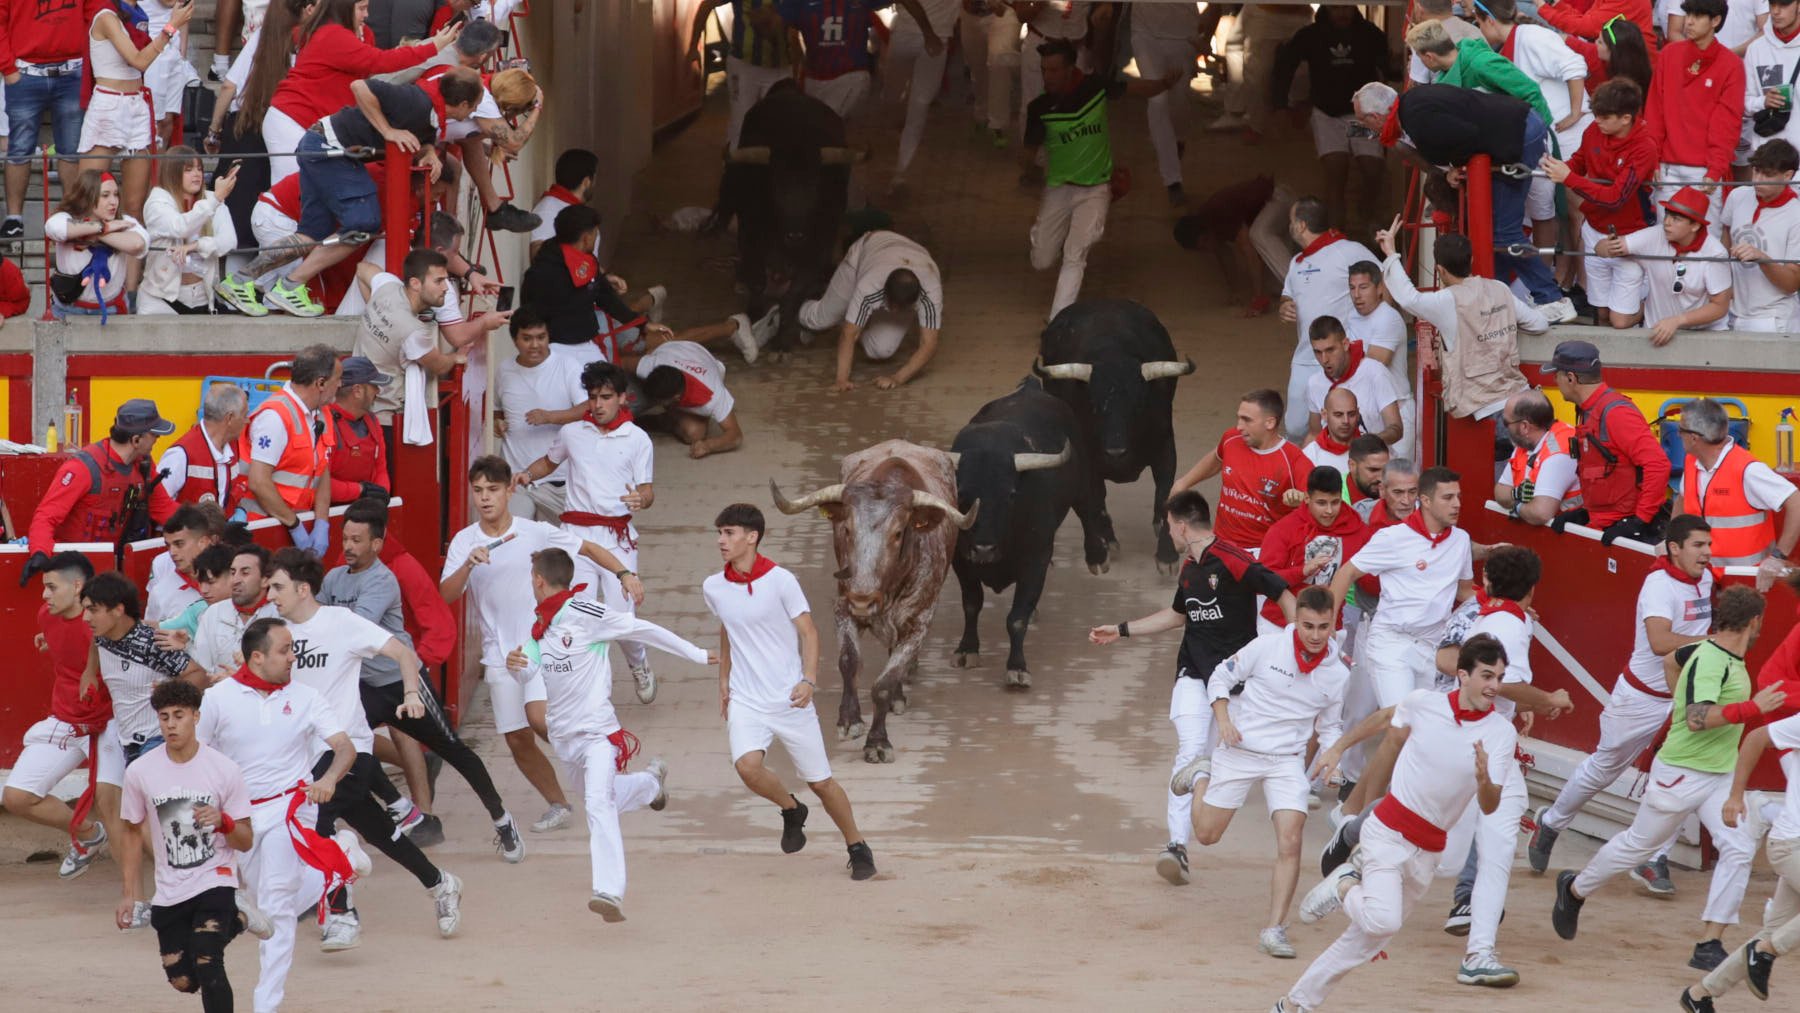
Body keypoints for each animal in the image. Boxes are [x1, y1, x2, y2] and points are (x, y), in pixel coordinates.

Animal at [770, 440, 979, 766]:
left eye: (898, 533)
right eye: (846, 530)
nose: (863, 600)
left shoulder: (919, 624)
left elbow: (883, 683)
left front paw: (878, 742)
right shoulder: (843, 609)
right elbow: (848, 661)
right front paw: (849, 720)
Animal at [943, 377, 1108, 690]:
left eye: (1010, 495)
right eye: (964, 494)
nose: (983, 549)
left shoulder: (1036, 561)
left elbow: (1016, 618)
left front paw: (1017, 668)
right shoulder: (962, 562)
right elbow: (971, 604)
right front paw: (967, 649)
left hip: (1082, 484)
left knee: (1088, 511)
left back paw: (1097, 557)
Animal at [1029, 298, 1195, 572]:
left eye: (1139, 405)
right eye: (1094, 405)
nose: (1115, 451)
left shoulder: (1165, 447)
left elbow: (1164, 496)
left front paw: (1167, 555)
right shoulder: (1086, 457)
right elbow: (1096, 497)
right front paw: (1105, 542)